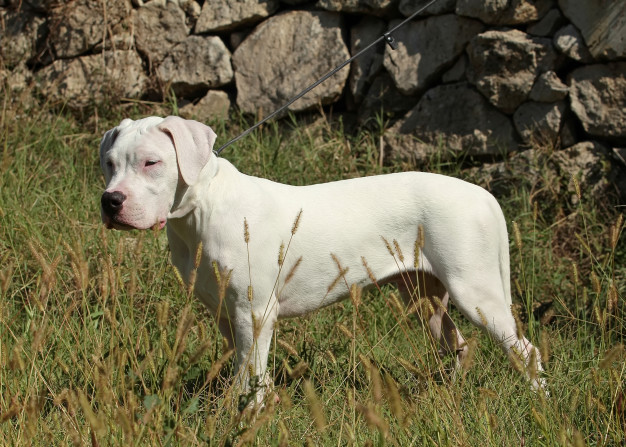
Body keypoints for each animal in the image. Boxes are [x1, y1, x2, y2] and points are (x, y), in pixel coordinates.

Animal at [97, 116, 540, 402]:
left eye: (151, 162)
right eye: (109, 163)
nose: (111, 200)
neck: (203, 210)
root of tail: (482, 194)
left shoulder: (254, 314)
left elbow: (254, 376)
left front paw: (250, 417)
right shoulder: (226, 314)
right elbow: (241, 372)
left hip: (475, 292)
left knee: (525, 350)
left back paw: (539, 398)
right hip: (425, 298)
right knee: (458, 345)